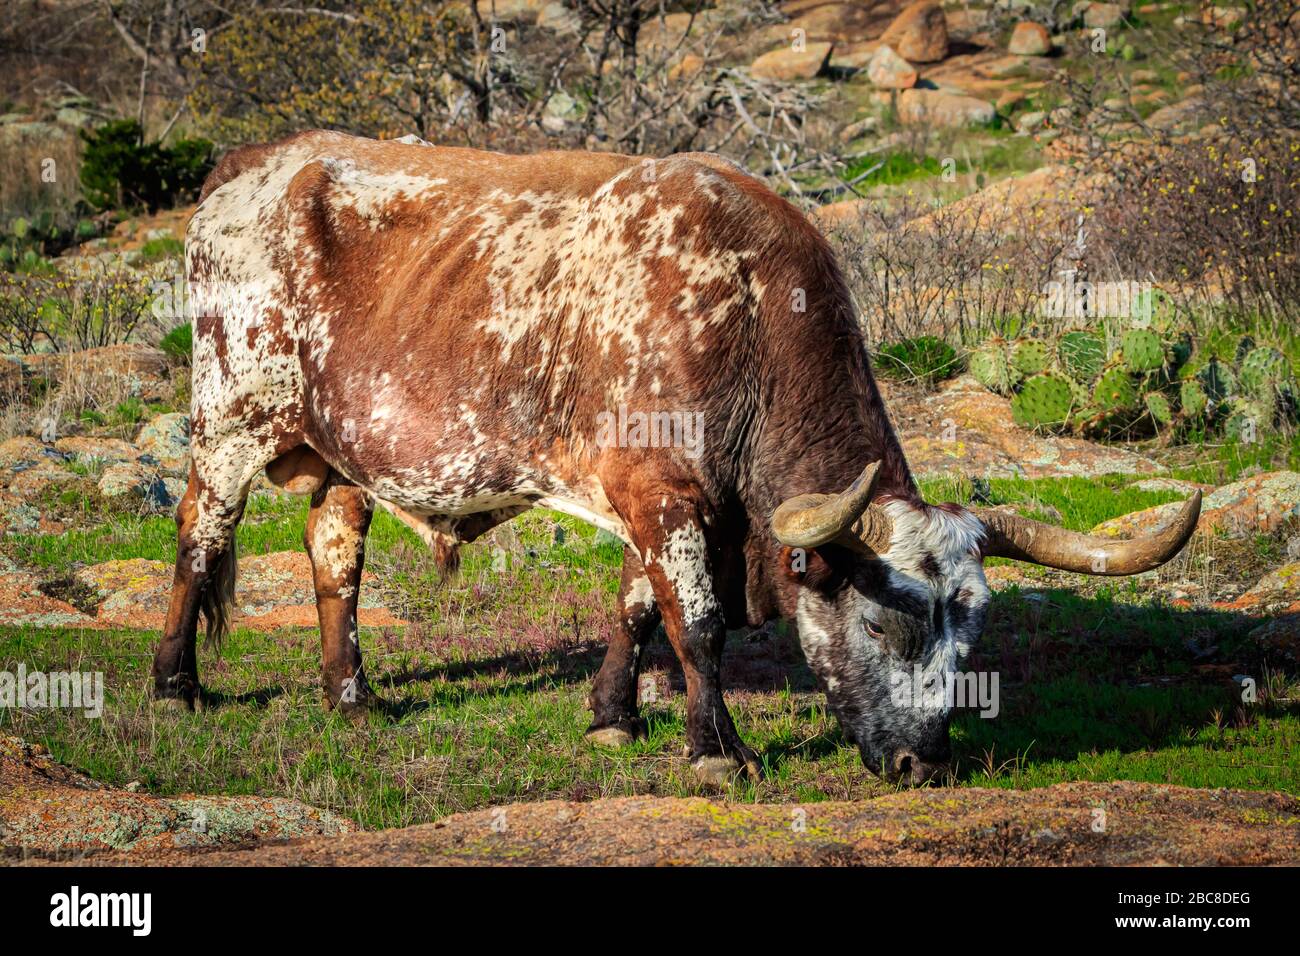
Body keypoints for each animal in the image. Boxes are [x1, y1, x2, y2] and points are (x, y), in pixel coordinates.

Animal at [152, 130, 1200, 785]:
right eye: (883, 626)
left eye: (971, 639)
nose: (923, 765)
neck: (746, 309)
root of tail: (252, 165)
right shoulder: (667, 493)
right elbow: (696, 623)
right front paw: (716, 748)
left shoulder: (655, 500)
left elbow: (637, 607)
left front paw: (614, 713)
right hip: (232, 420)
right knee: (198, 538)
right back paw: (176, 687)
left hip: (339, 455)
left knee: (336, 559)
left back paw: (354, 697)